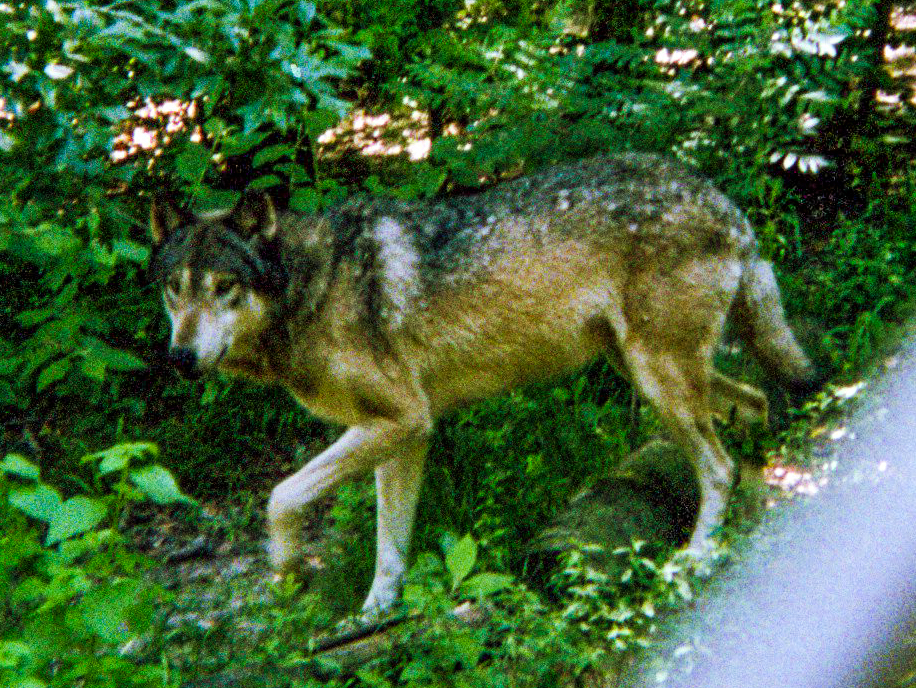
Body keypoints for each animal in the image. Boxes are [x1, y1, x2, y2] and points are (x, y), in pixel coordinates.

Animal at [149, 152, 818, 613]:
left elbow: (281, 497)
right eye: (174, 290)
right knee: (755, 406)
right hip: (649, 374)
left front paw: (289, 573)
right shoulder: (400, 435)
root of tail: (720, 200)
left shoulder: (403, 420)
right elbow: (390, 547)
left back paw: (697, 556)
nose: (180, 357)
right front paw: (374, 616)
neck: (312, 288)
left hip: (659, 381)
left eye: (224, 288)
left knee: (719, 466)